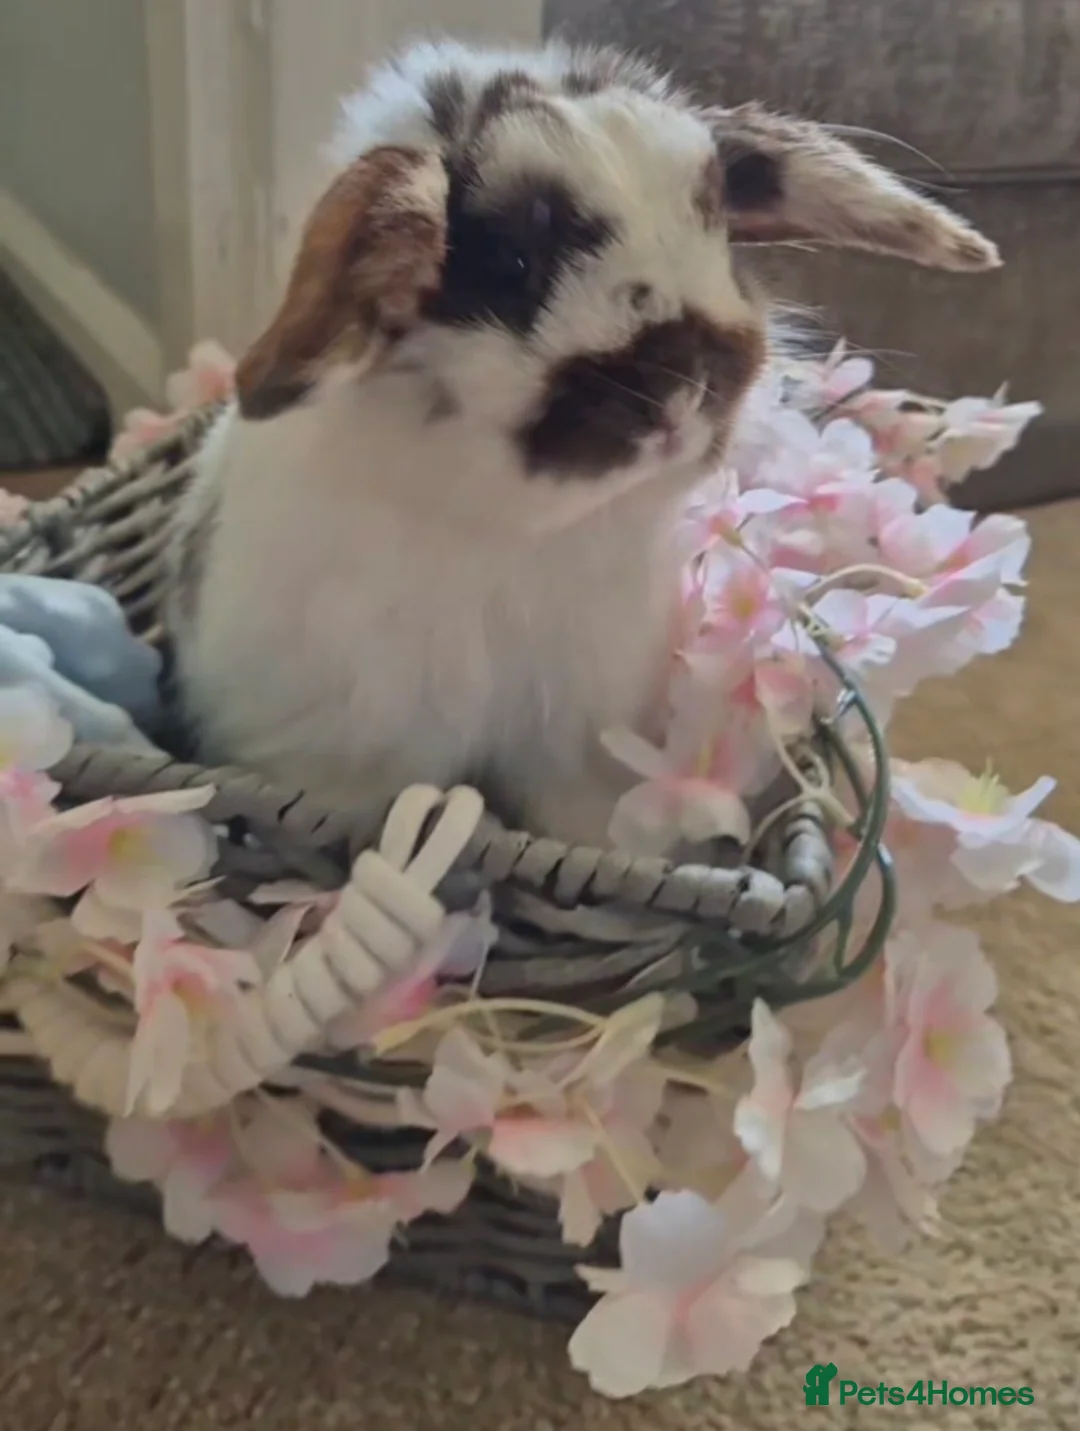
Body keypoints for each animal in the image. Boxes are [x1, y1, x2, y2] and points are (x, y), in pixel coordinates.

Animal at [165, 39, 999, 851]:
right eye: (514, 264)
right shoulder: (339, 745)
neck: (507, 534)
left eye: (717, 224)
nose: (686, 383)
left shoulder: (587, 739)